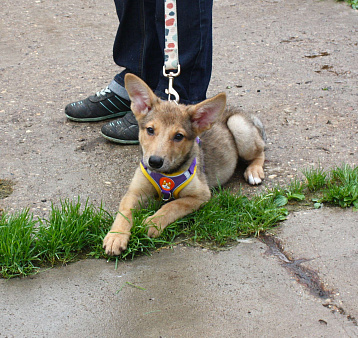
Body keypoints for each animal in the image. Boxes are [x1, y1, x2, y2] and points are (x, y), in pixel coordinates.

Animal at [102, 72, 264, 255]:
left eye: (178, 136)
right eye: (150, 130)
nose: (154, 161)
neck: (166, 174)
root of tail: (241, 111)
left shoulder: (200, 195)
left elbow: (172, 205)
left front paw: (152, 222)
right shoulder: (135, 192)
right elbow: (124, 211)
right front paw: (116, 236)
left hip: (238, 126)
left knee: (260, 151)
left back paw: (254, 171)